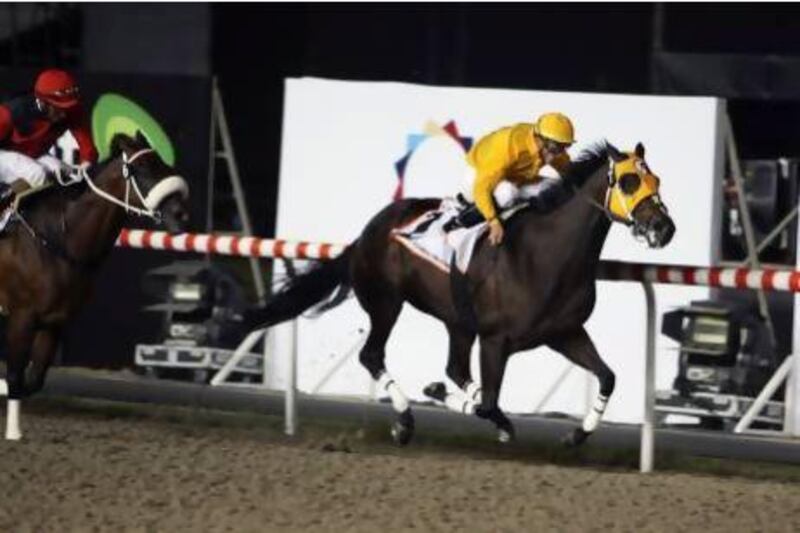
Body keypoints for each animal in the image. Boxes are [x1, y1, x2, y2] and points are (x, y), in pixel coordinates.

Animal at [0, 131, 189, 438]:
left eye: (162, 162)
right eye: (142, 167)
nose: (181, 214)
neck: (60, 237)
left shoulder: (55, 321)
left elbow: (33, 379)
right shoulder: (22, 316)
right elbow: (16, 376)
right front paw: (14, 432)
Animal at [252, 141, 676, 444]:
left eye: (656, 181)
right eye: (628, 182)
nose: (664, 228)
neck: (546, 255)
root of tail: (368, 231)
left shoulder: (565, 333)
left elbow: (607, 377)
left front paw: (576, 433)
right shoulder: (495, 340)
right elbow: (488, 403)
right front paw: (450, 400)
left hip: (456, 318)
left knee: (454, 366)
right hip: (387, 302)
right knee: (372, 355)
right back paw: (405, 420)